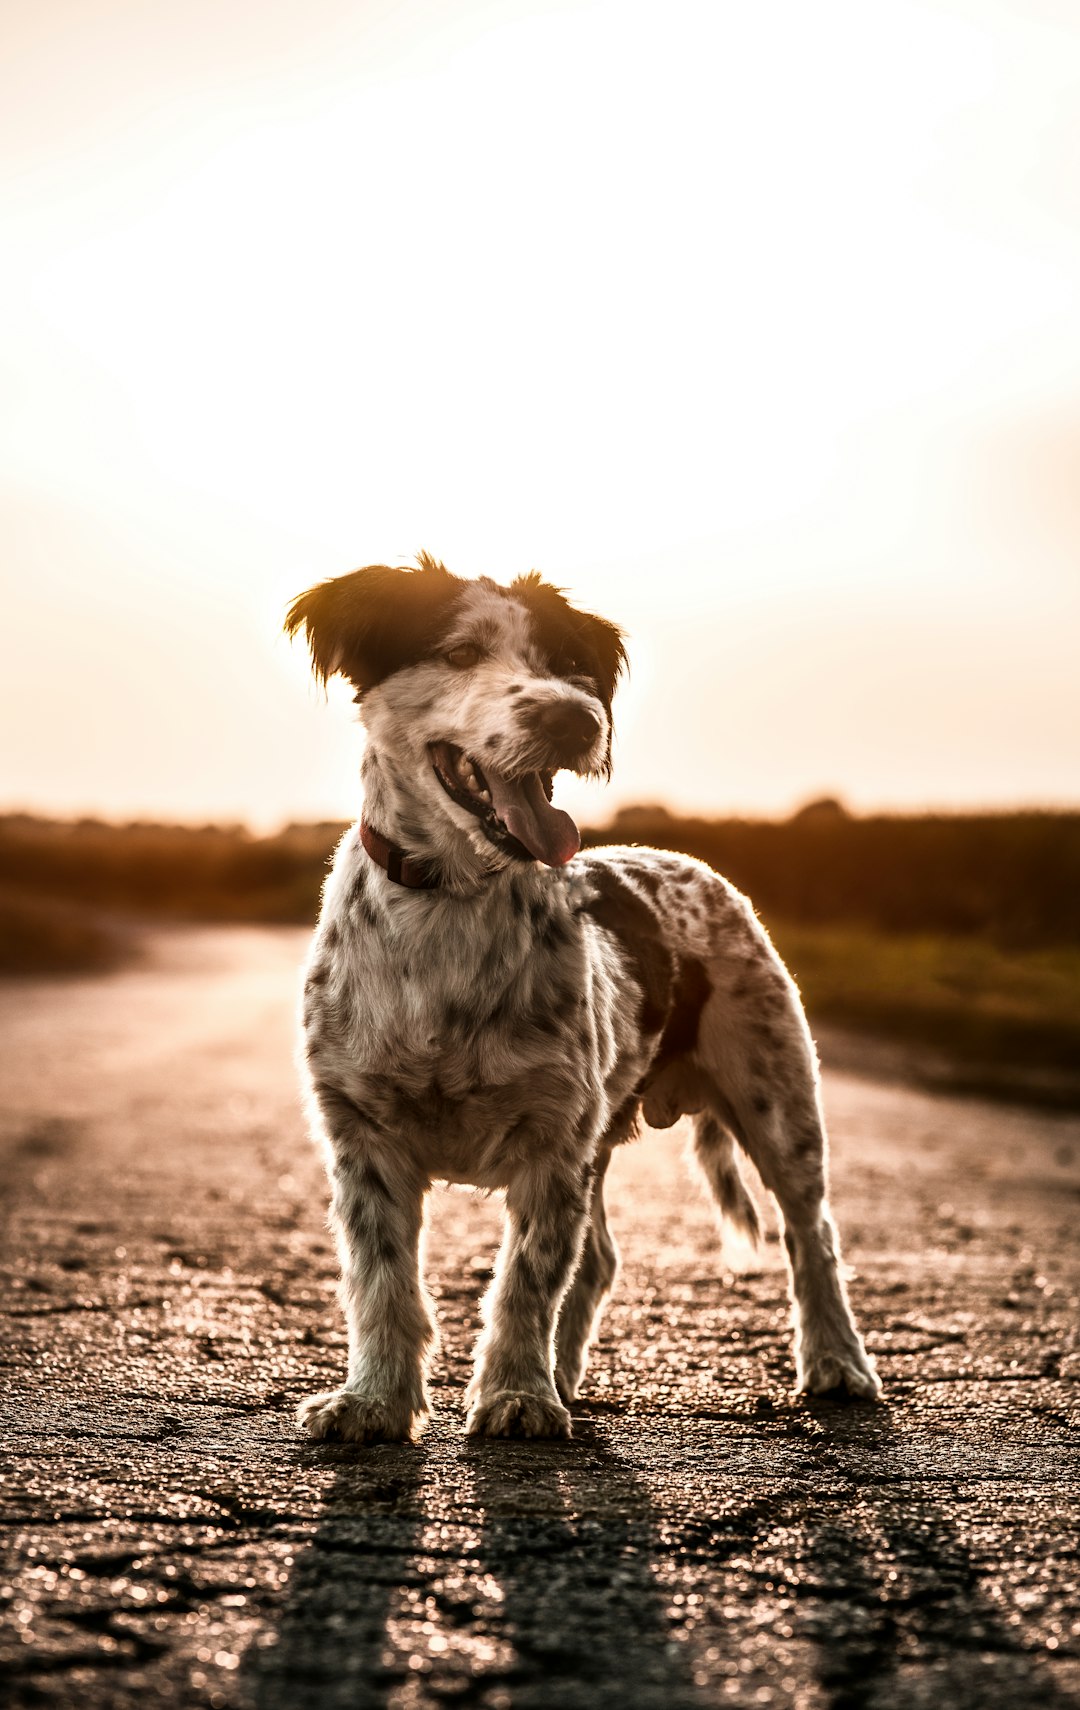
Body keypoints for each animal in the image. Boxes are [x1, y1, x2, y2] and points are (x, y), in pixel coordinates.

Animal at [285, 560, 874, 1443]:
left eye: (568, 666)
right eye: (460, 652)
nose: (573, 716)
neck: (452, 898)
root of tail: (688, 862)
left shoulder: (551, 1145)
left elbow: (526, 1278)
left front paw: (517, 1395)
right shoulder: (364, 1137)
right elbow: (383, 1281)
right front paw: (375, 1401)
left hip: (776, 1100)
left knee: (813, 1236)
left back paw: (836, 1359)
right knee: (598, 1259)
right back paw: (564, 1373)